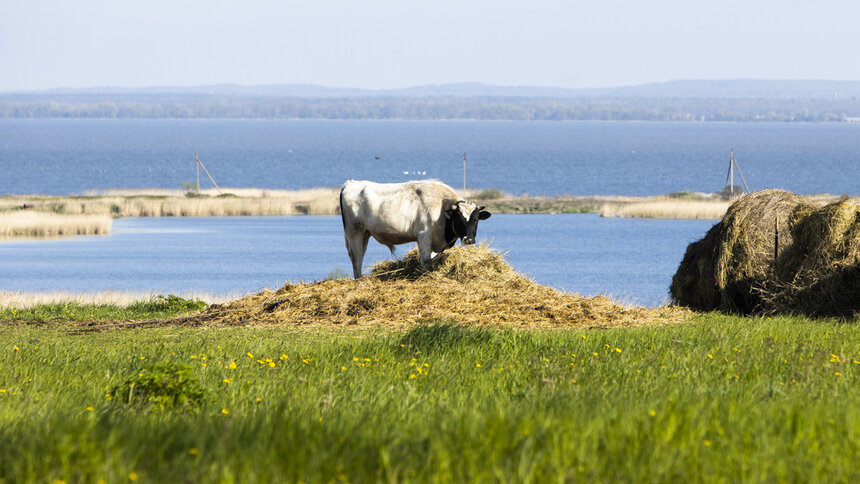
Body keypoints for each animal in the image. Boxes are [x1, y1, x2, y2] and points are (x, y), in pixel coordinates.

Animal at [340, 180, 494, 278]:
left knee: (360, 254)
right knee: (357, 257)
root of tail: (351, 183)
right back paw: (359, 279)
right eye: (459, 219)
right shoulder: (424, 235)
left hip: (365, 233)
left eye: (475, 220)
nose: (469, 240)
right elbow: (425, 260)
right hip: (354, 232)